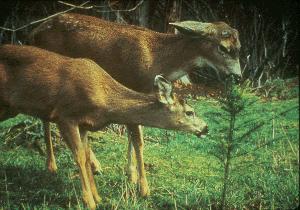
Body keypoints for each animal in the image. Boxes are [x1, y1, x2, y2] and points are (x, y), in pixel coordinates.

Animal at [0, 44, 206, 210]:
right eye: (190, 112)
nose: (206, 128)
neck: (105, 101)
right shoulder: (65, 116)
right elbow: (80, 156)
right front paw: (89, 201)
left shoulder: (84, 125)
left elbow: (85, 154)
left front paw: (97, 197)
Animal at [29, 12, 241, 197]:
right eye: (223, 47)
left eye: (239, 48)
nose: (238, 77)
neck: (159, 59)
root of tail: (34, 33)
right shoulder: (134, 86)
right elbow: (138, 140)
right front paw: (144, 188)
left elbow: (133, 135)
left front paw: (130, 174)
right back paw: (52, 165)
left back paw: (94, 166)